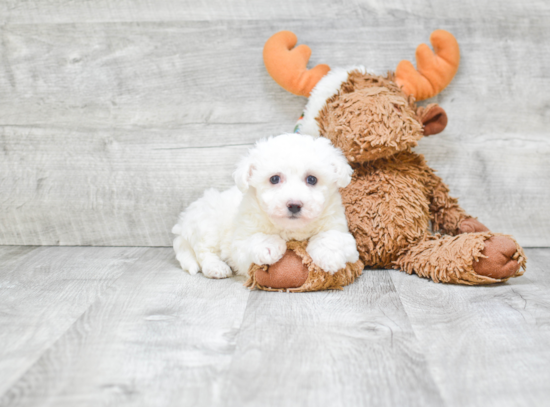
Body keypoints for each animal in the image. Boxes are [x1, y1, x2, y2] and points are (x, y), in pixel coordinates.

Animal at [174, 134, 362, 280]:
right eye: (274, 179)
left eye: (312, 179)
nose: (294, 205)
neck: (290, 229)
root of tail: (182, 224)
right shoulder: (240, 243)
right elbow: (252, 240)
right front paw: (268, 245)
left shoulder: (339, 227)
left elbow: (333, 236)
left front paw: (329, 255)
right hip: (208, 224)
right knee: (204, 252)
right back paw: (216, 268)